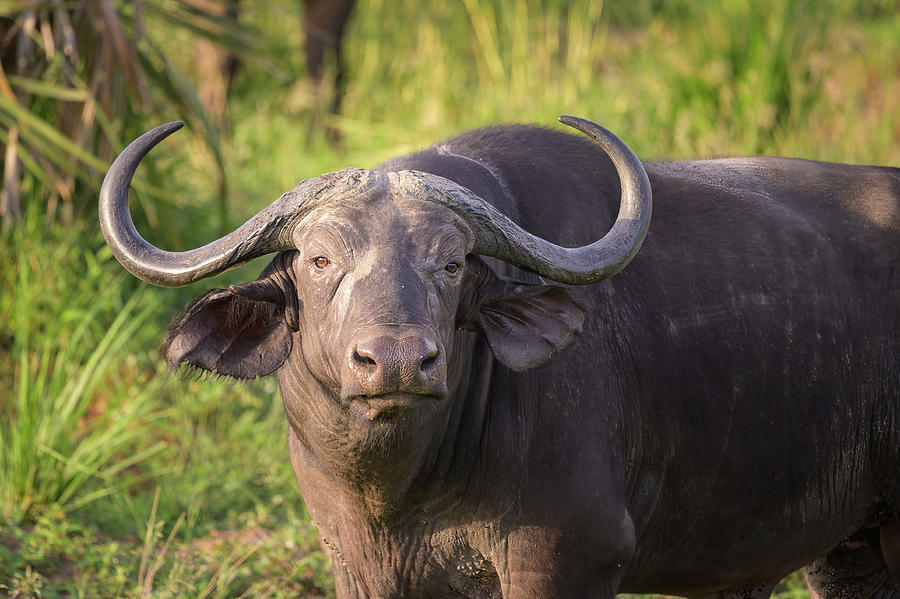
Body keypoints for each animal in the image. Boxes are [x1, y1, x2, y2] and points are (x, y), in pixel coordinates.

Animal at [102, 117, 896, 599]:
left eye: (452, 263)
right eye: (321, 259)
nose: (397, 362)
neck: (403, 490)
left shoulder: (569, 556)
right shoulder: (358, 566)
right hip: (845, 549)